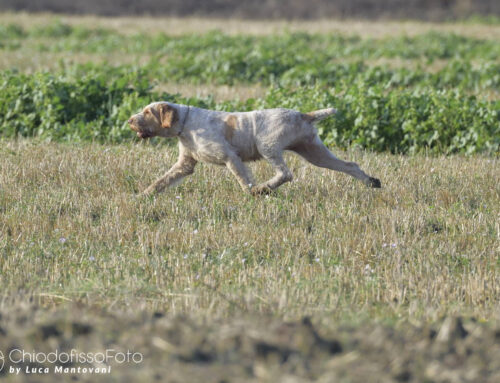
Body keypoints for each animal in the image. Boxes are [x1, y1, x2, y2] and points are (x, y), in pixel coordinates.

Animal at [129, 103, 382, 195]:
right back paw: (371, 182)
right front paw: (143, 195)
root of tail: (303, 115)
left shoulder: (230, 157)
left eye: (148, 111)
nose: (130, 120)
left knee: (285, 174)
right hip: (315, 153)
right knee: (350, 165)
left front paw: (252, 193)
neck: (186, 123)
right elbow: (161, 180)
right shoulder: (185, 165)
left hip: (267, 145)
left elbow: (244, 180)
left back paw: (264, 188)